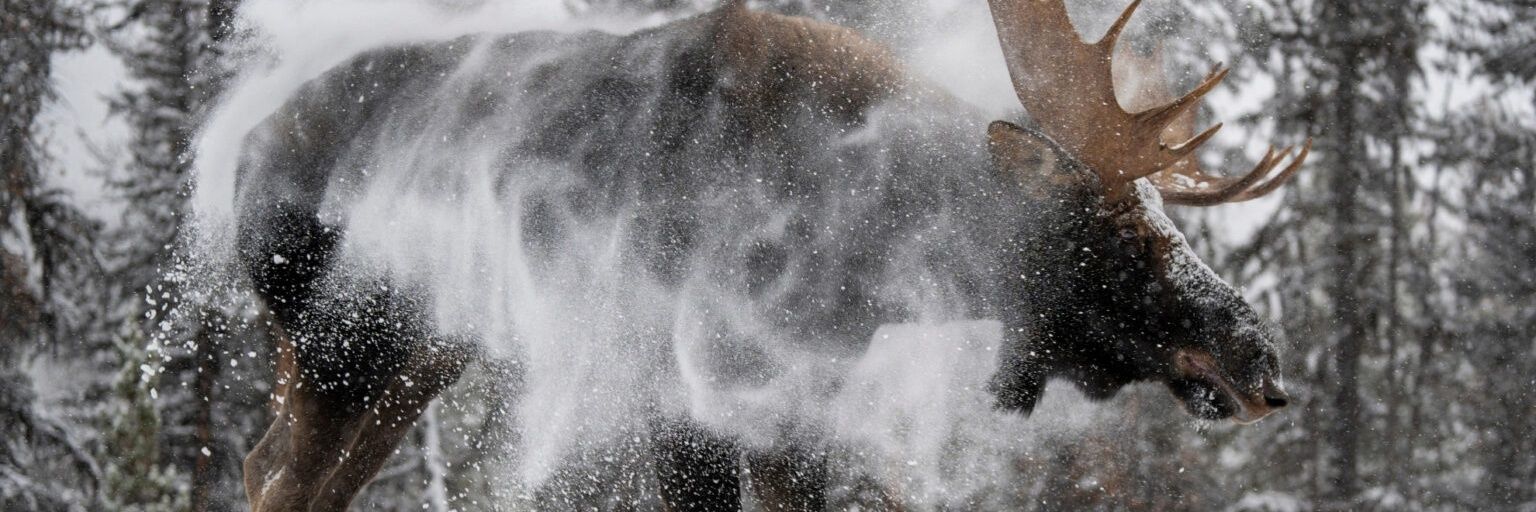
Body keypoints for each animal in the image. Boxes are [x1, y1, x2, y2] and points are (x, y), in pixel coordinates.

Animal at [232, 0, 1309, 510]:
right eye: (1117, 231)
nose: (1264, 366)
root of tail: (236, 158)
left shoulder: (796, 396)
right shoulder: (675, 383)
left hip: (413, 353)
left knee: (270, 467)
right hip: (343, 339)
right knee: (284, 480)